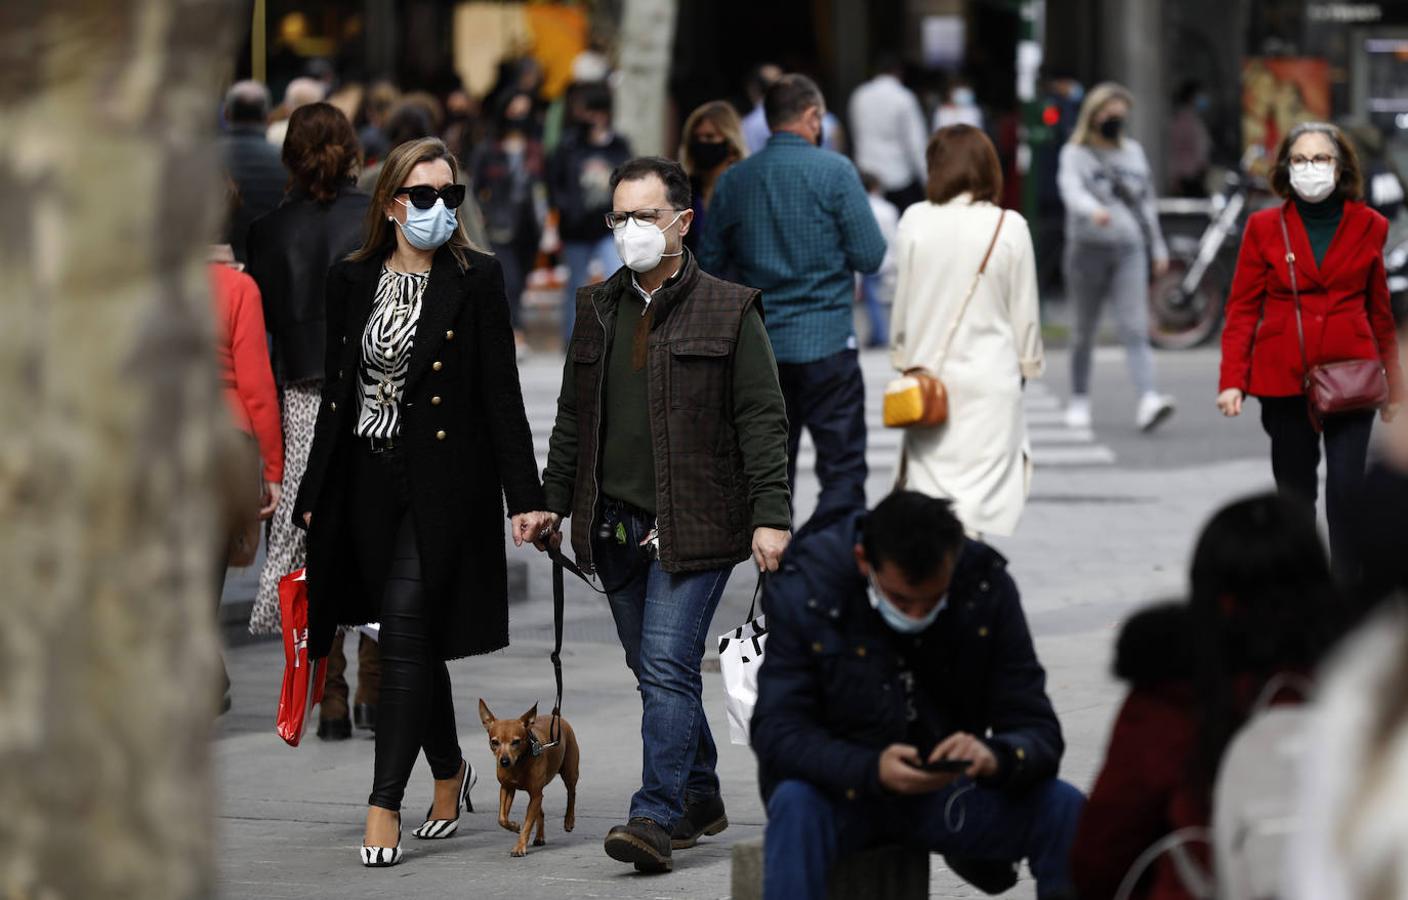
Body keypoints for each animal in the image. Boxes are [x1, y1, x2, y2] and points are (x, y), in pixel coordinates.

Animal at [478, 701, 577, 856]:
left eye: (516, 742)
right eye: (494, 742)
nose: (504, 761)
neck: (519, 763)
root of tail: (556, 716)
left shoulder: (535, 794)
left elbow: (528, 824)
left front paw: (519, 847)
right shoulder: (507, 788)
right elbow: (502, 818)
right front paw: (514, 826)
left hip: (569, 773)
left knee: (571, 794)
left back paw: (569, 821)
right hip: (536, 793)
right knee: (540, 812)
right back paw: (539, 837)